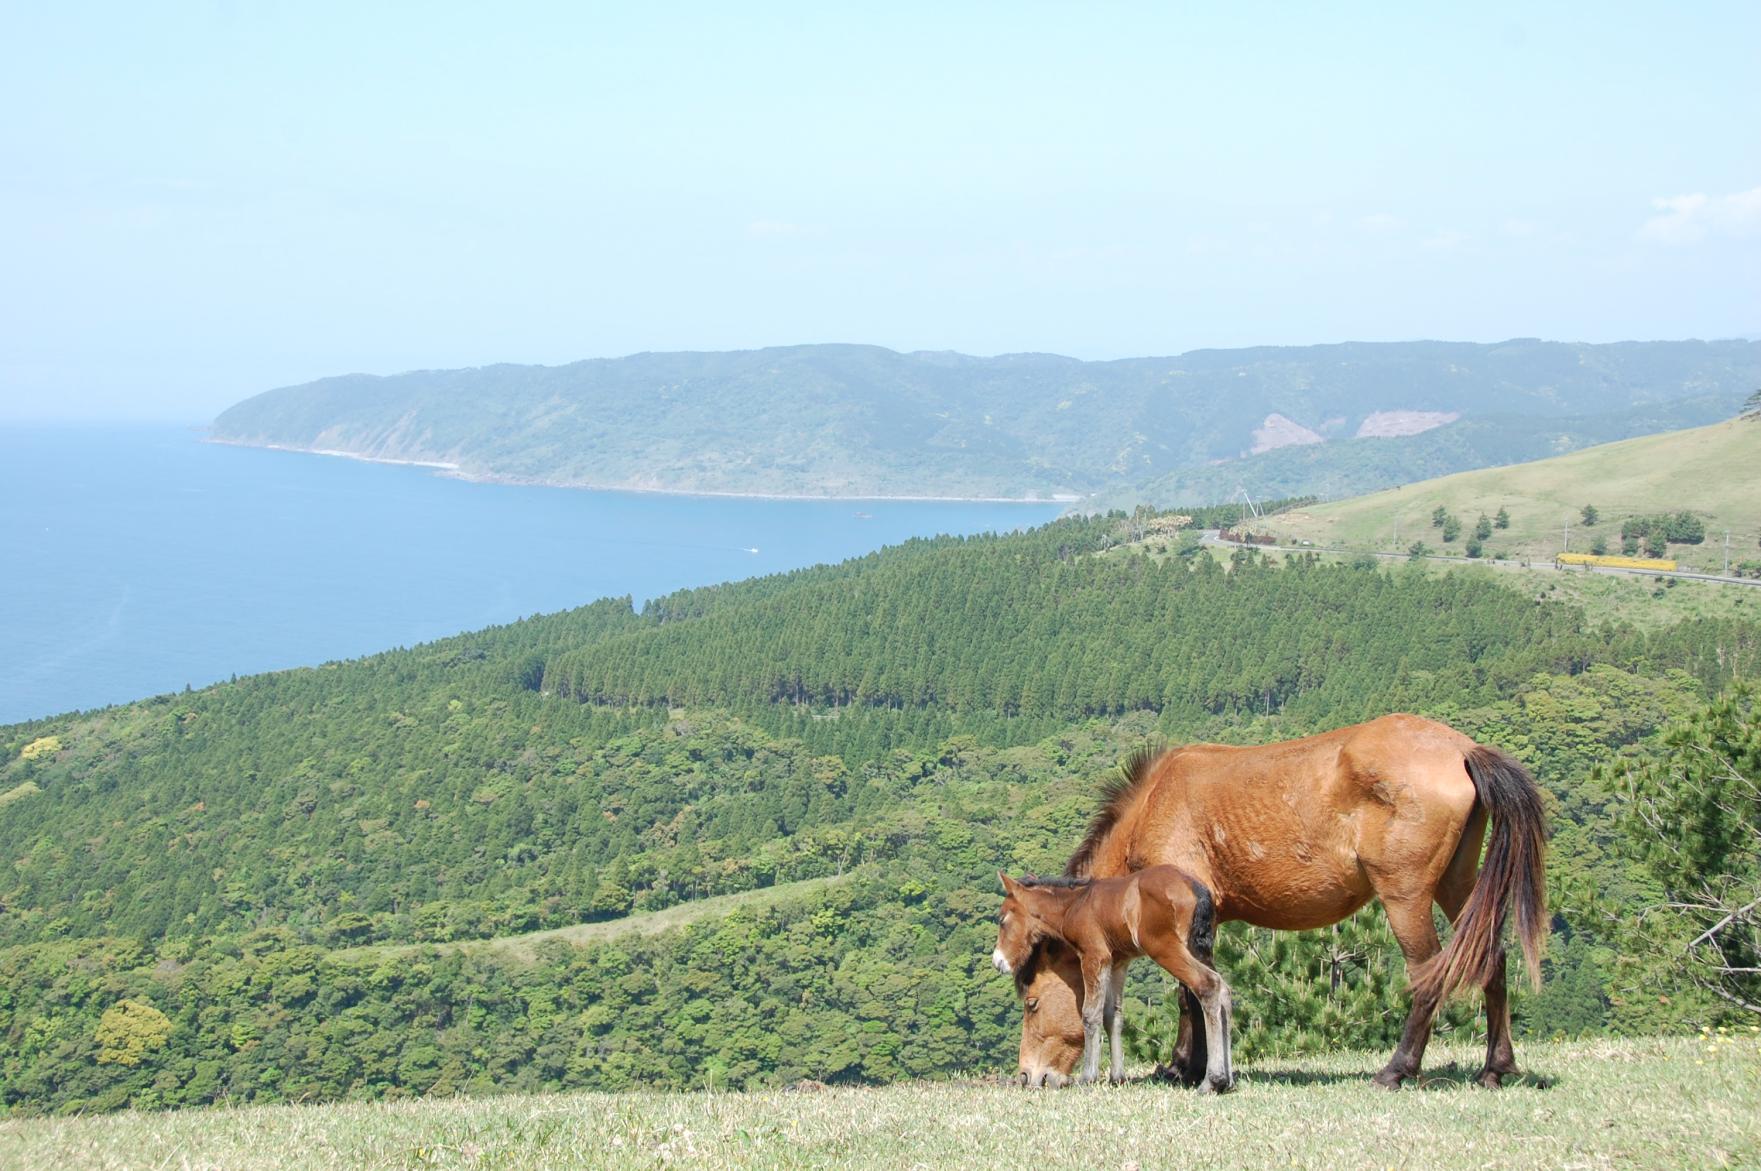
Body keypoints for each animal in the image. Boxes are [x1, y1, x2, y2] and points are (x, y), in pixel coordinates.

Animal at [993, 867, 1235, 1092]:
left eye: (1002, 920)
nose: (997, 961)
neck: (1074, 905)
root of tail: (1195, 887)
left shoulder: (1094, 956)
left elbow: (1090, 1014)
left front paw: (1088, 1077)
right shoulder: (1118, 963)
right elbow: (1113, 1016)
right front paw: (1116, 1077)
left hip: (1165, 948)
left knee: (1208, 985)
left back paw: (1212, 1081)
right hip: (1200, 949)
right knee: (1223, 989)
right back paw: (1228, 1080)